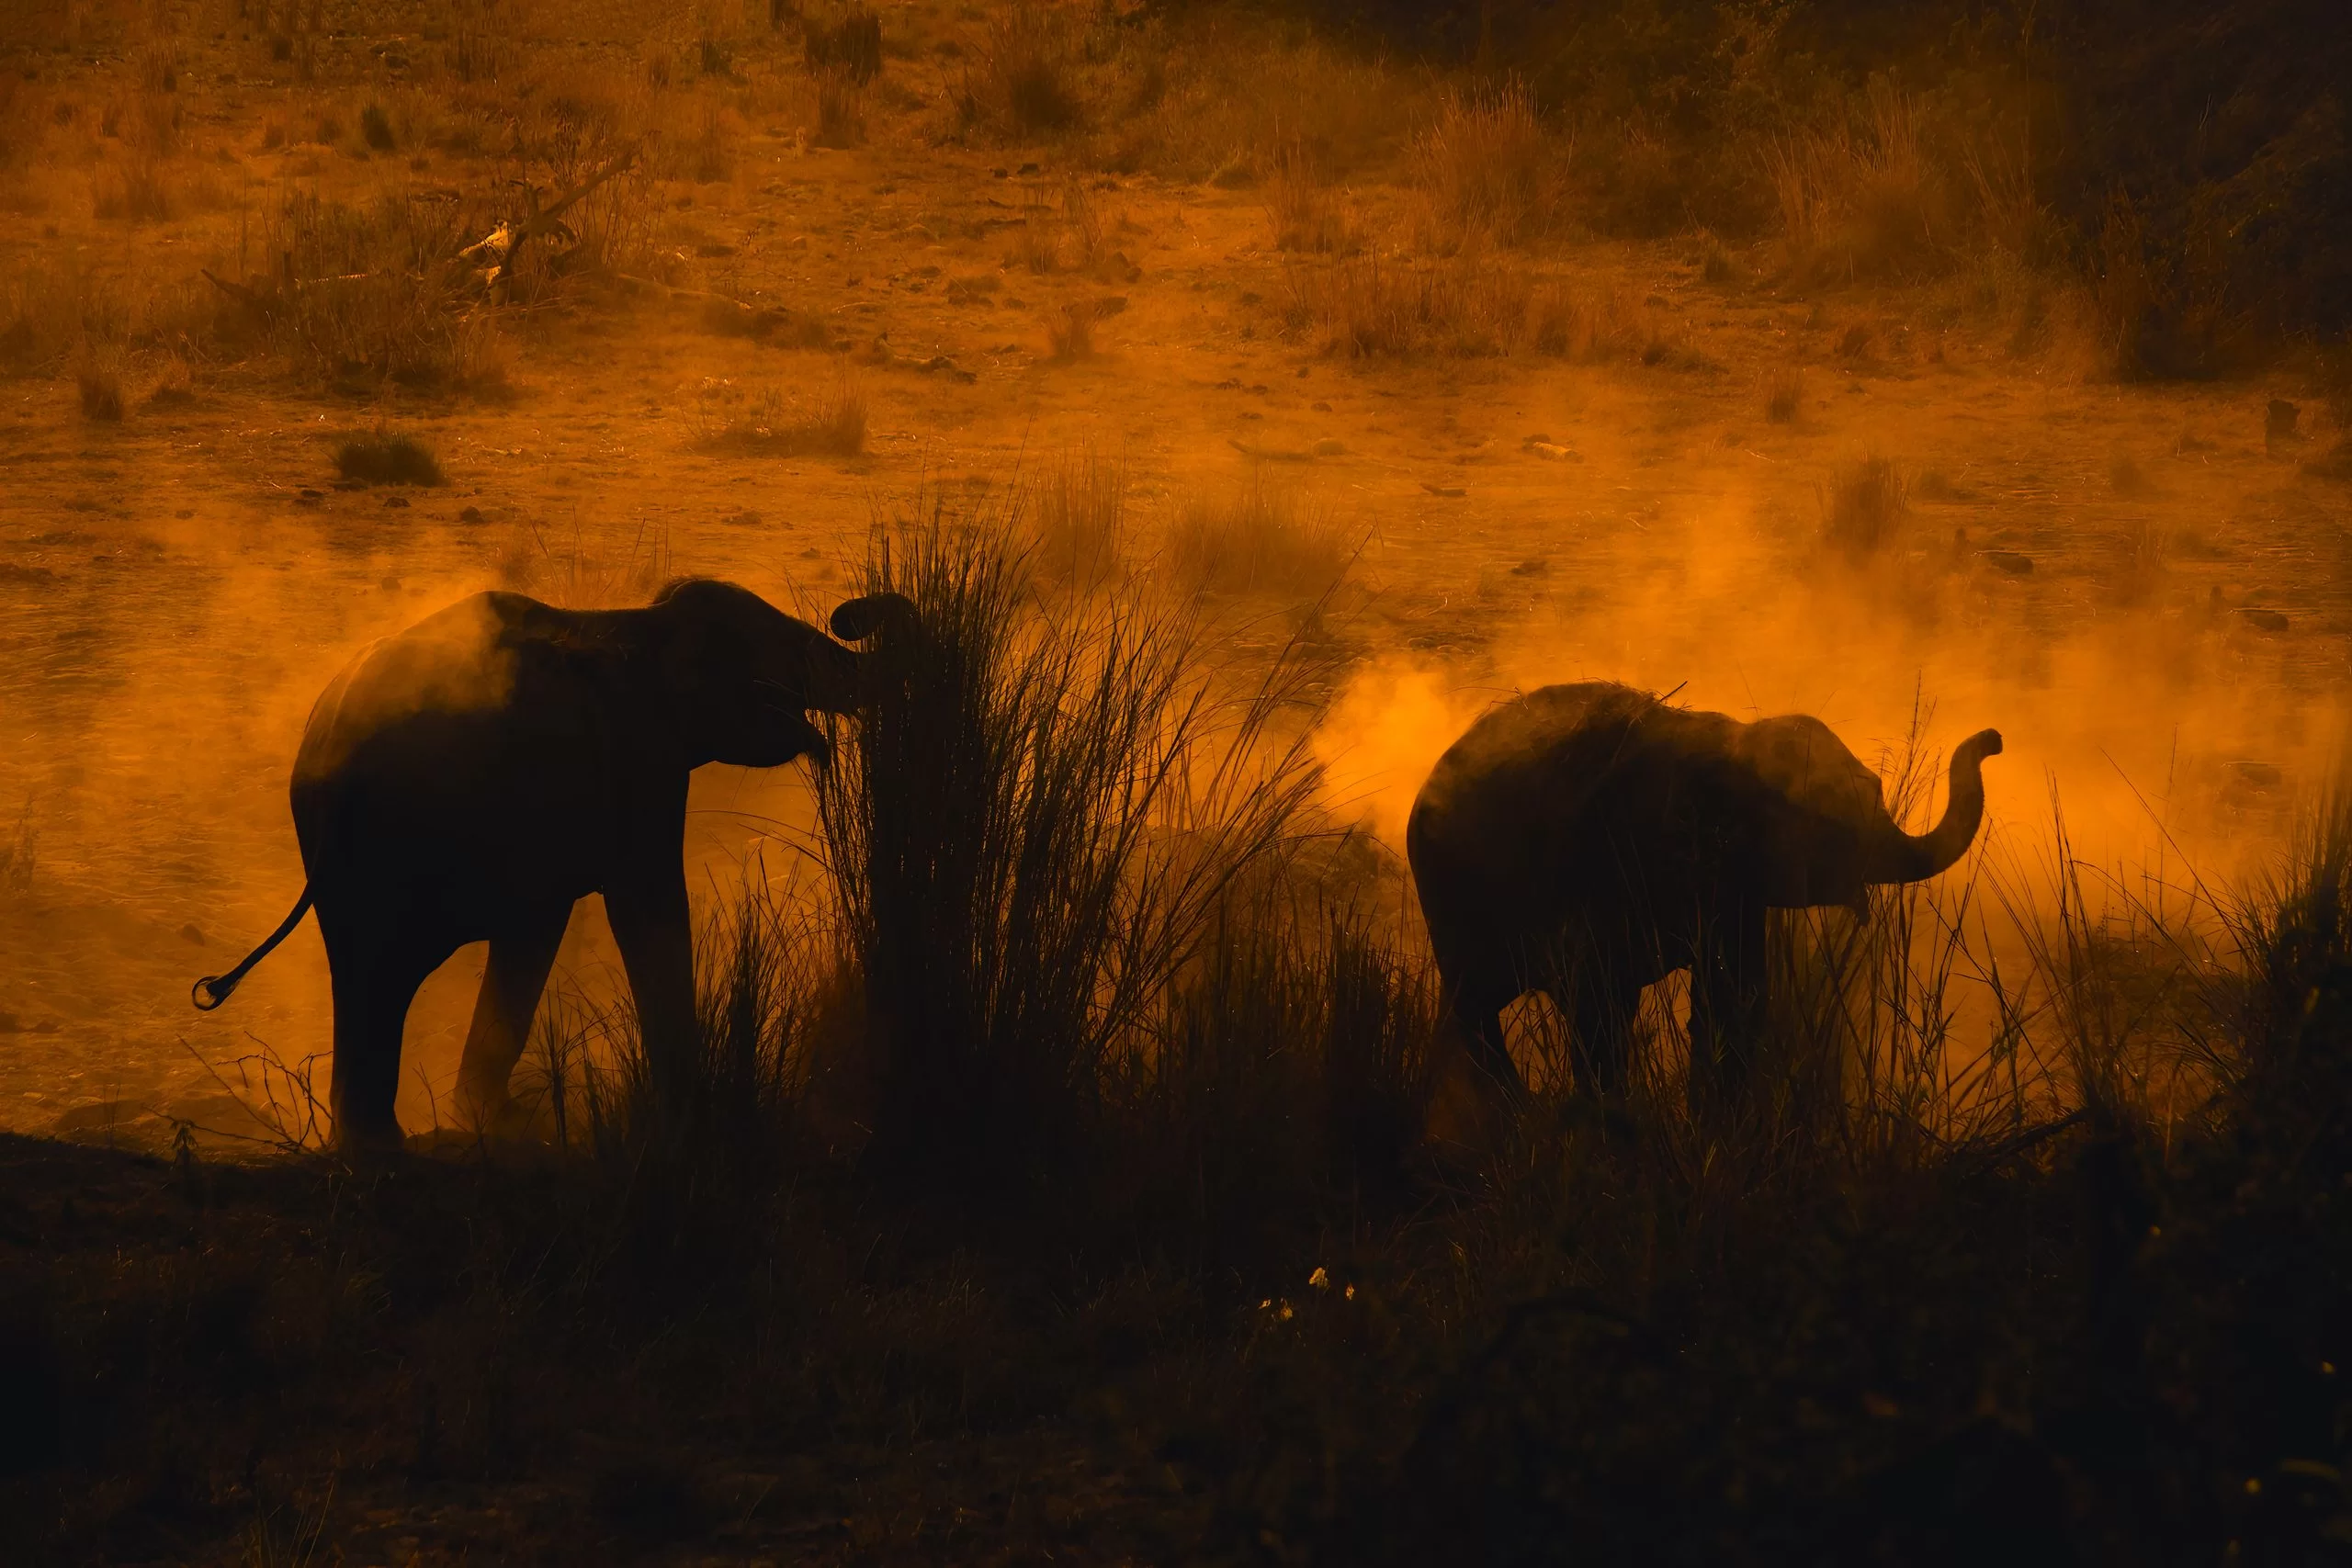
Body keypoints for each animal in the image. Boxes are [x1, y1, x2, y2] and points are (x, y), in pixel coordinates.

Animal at [193, 579, 912, 1149]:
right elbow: (643, 908)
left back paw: (369, 1141)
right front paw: (683, 1114)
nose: (849, 613)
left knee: (364, 972)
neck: (640, 622)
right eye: (783, 655)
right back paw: (379, 1145)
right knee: (387, 971)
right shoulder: (639, 762)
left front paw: (499, 1120)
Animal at [1405, 682, 2001, 1101]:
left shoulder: (1734, 892)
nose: (1993, 740)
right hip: (1448, 890)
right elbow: (1599, 1004)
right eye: (1833, 824)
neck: (1729, 744)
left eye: (1875, 789)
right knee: (1476, 1009)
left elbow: (1734, 997)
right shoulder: (1607, 860)